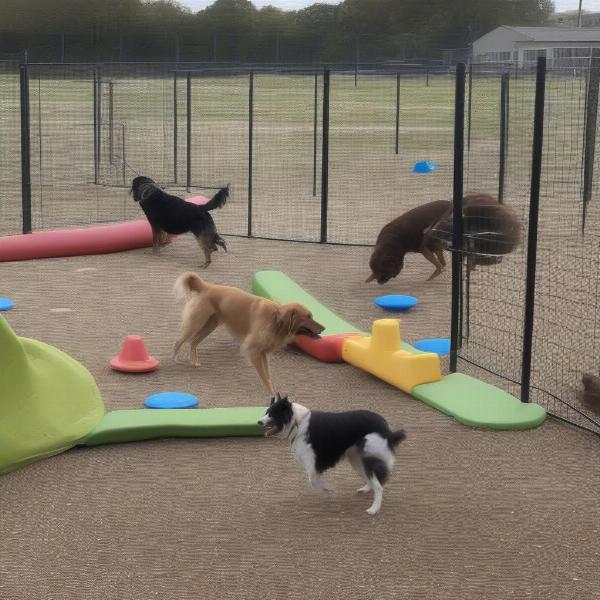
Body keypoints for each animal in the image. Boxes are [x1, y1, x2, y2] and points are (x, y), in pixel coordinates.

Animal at [172, 274, 324, 396]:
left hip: (209, 325)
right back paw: (175, 359)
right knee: (179, 341)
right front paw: (271, 394)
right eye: (308, 317)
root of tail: (207, 286)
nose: (324, 328)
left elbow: (268, 375)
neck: (275, 319)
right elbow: (264, 377)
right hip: (196, 323)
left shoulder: (263, 353)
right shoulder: (254, 350)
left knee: (193, 342)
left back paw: (194, 362)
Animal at [258, 394, 408, 516]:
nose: (258, 422)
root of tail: (386, 429)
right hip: (356, 459)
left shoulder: (313, 462)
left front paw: (329, 490)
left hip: (368, 457)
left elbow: (313, 482)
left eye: (272, 414)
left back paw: (373, 509)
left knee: (379, 486)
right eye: (266, 412)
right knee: (371, 480)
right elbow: (314, 481)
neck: (297, 423)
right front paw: (328, 490)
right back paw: (365, 489)